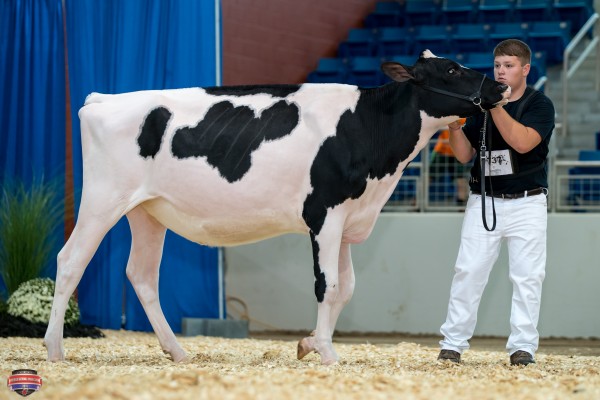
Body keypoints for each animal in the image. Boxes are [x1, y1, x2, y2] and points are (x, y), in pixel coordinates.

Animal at [43, 50, 510, 366]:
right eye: (451, 69)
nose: (500, 87)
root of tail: (103, 99)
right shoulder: (324, 213)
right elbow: (328, 286)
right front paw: (328, 354)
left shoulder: (348, 218)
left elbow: (347, 288)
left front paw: (310, 343)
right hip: (103, 199)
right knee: (70, 262)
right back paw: (54, 349)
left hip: (147, 211)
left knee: (142, 275)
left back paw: (177, 352)